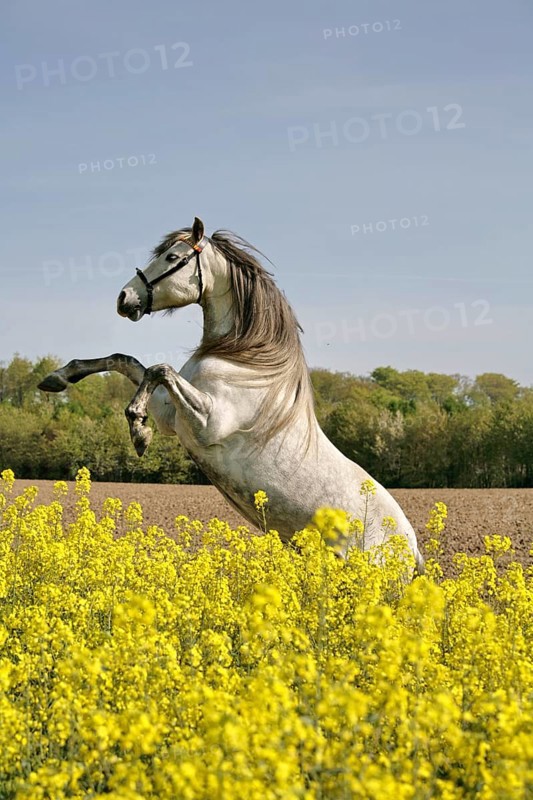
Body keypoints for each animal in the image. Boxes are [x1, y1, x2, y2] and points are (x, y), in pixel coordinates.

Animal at [39, 216, 424, 572]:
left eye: (171, 257)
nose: (124, 298)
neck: (245, 362)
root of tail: (412, 549)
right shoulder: (170, 416)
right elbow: (127, 361)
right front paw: (58, 378)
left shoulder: (205, 422)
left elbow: (158, 369)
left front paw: (138, 431)